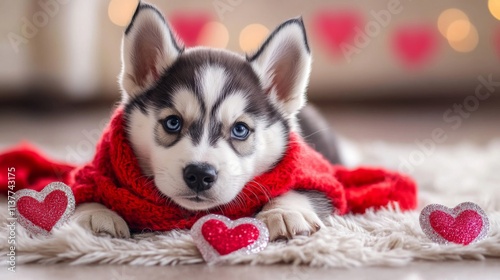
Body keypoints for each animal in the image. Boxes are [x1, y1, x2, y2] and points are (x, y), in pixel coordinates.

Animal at [74, 2, 340, 241]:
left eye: (240, 129)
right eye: (173, 122)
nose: (200, 174)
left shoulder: (317, 172)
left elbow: (301, 188)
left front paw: (284, 212)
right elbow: (83, 188)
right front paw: (95, 213)